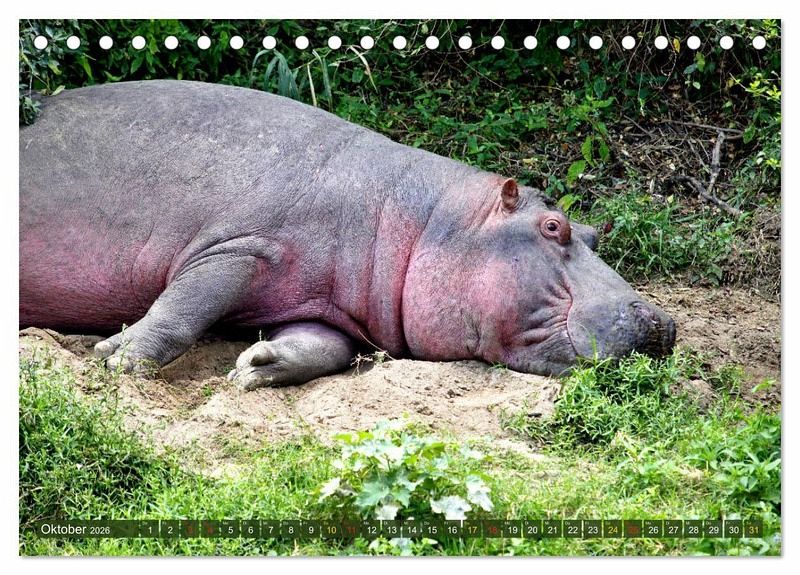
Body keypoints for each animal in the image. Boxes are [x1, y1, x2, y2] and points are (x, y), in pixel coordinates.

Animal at [19, 80, 675, 389]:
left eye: (594, 232)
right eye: (552, 226)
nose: (663, 322)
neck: (418, 219)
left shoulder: (322, 305)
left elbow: (322, 347)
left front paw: (255, 364)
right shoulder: (239, 247)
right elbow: (184, 304)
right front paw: (118, 358)